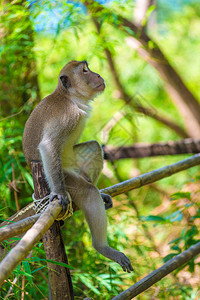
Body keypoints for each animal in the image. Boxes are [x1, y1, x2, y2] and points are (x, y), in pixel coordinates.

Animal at [22, 60, 133, 272]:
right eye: (85, 71)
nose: (97, 75)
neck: (71, 98)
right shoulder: (67, 115)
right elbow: (48, 146)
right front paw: (59, 193)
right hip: (65, 176)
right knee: (87, 191)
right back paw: (102, 247)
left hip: (74, 163)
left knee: (94, 147)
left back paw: (100, 192)